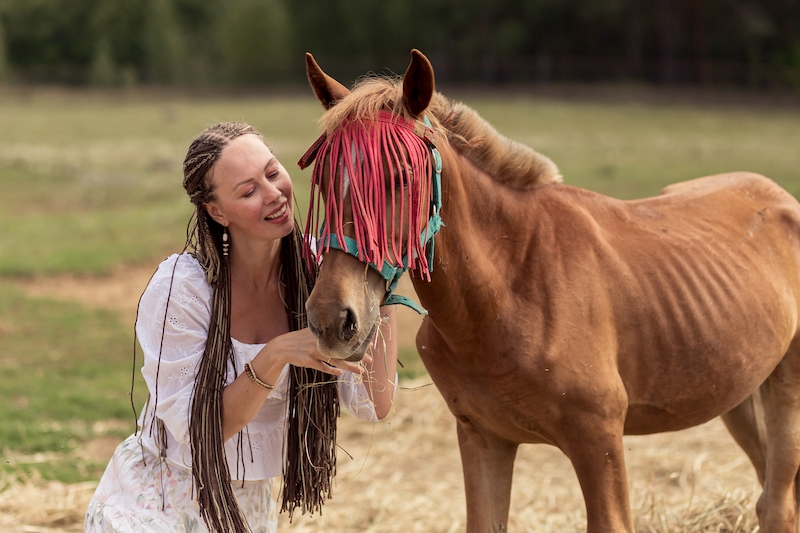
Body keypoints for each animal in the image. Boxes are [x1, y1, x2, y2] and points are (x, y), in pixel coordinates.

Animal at [302, 50, 800, 532]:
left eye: (403, 176)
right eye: (322, 179)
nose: (333, 318)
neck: (507, 293)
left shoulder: (598, 440)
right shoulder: (484, 437)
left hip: (784, 389)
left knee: (778, 505)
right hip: (738, 393)